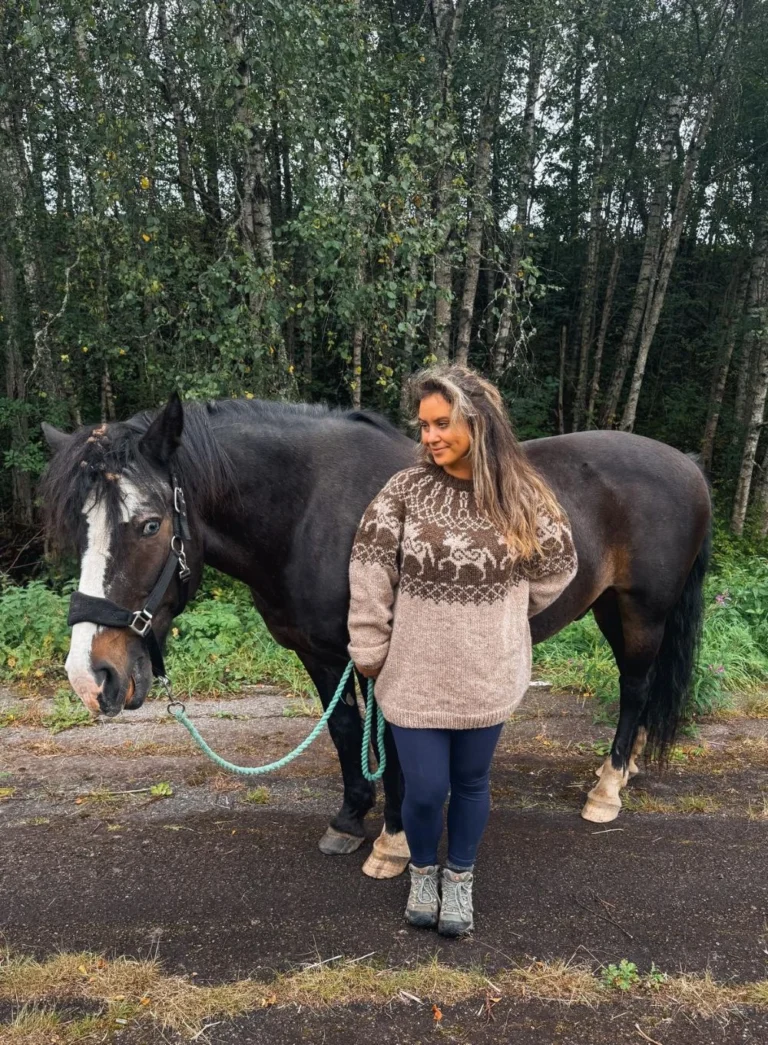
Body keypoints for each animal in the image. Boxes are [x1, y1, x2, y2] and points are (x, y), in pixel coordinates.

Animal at [41, 395, 711, 878]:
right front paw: (348, 818)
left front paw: (392, 841)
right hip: (609, 608)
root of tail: (689, 466)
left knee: (635, 686)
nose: (90, 676)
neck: (308, 509)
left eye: (150, 524)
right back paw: (626, 769)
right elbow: (344, 729)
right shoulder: (318, 653)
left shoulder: (379, 651)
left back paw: (608, 787)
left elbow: (388, 742)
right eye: (77, 528)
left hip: (643, 611)